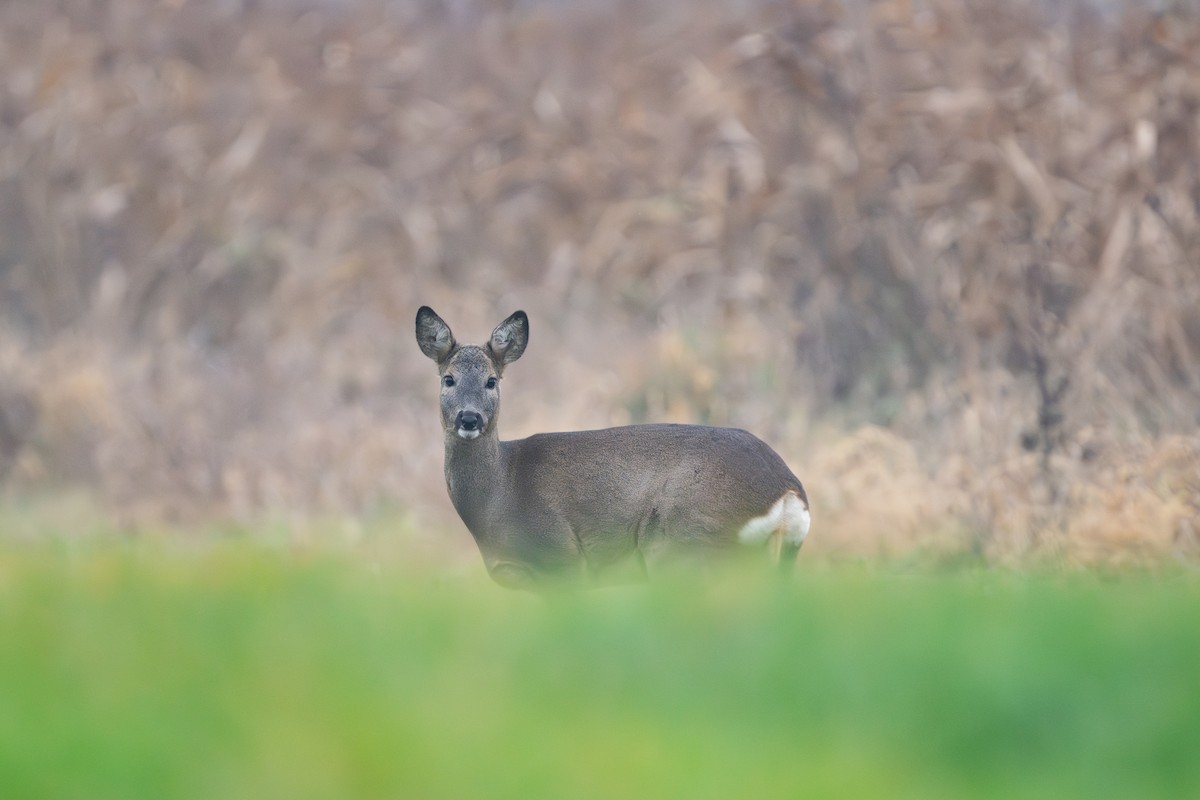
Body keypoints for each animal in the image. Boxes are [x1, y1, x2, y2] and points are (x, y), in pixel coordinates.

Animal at [415, 306, 810, 589]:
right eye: (448, 379)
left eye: (491, 380)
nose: (469, 418)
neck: (501, 492)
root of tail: (789, 490)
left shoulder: (562, 557)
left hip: (686, 542)